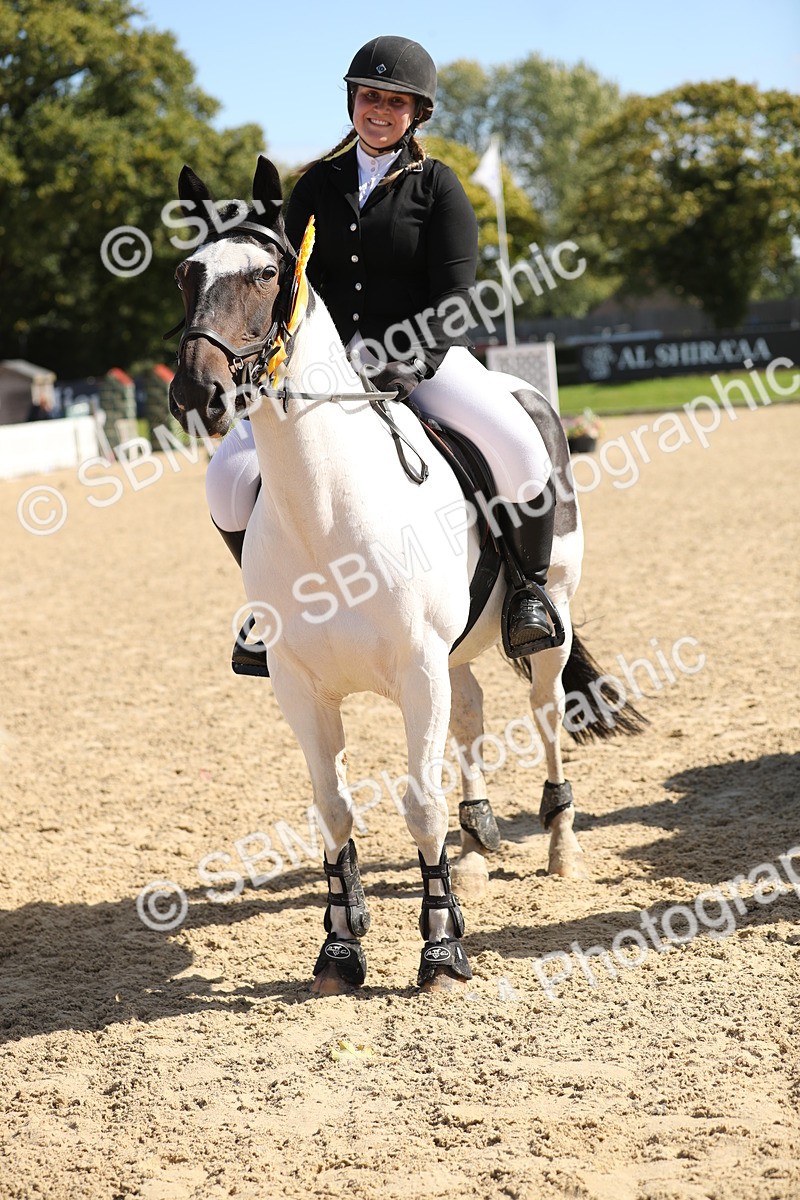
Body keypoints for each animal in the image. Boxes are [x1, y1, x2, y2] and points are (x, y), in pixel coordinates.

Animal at [169, 156, 645, 995]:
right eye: (187, 274)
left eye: (267, 273)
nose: (199, 393)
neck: (326, 508)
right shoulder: (302, 685)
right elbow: (333, 809)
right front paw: (340, 946)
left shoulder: (416, 670)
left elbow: (420, 805)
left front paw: (442, 950)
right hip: (452, 656)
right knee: (472, 714)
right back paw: (480, 844)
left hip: (546, 617)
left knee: (546, 713)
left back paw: (559, 844)